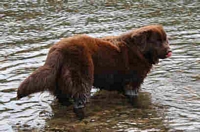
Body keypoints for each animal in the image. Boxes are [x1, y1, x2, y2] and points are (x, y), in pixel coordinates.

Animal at [16, 24, 172, 118]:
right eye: (157, 41)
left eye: (166, 40)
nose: (169, 50)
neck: (138, 51)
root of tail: (58, 50)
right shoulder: (132, 84)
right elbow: (133, 98)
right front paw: (139, 108)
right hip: (82, 78)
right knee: (78, 103)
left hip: (60, 83)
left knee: (62, 99)